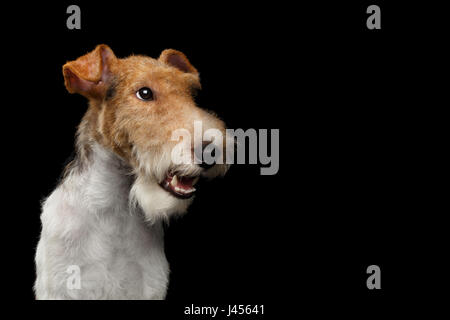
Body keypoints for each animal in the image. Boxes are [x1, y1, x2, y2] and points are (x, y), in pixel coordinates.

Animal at [34, 45, 229, 300]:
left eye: (190, 93)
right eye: (144, 93)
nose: (211, 151)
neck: (112, 211)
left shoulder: (148, 286)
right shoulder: (60, 286)